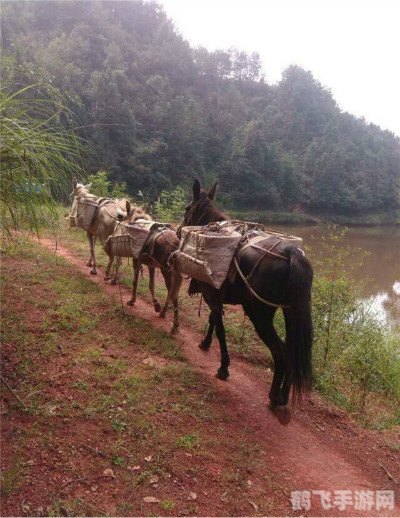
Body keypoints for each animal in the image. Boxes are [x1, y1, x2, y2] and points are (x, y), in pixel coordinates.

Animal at [180, 181, 314, 424]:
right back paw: (283, 397)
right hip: (291, 312)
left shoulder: (212, 294)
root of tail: (291, 251)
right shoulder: (216, 296)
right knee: (290, 351)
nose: (178, 230)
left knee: (280, 352)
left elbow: (219, 327)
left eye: (187, 209)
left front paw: (223, 367)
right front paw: (205, 343)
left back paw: (274, 397)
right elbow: (214, 320)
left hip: (259, 314)